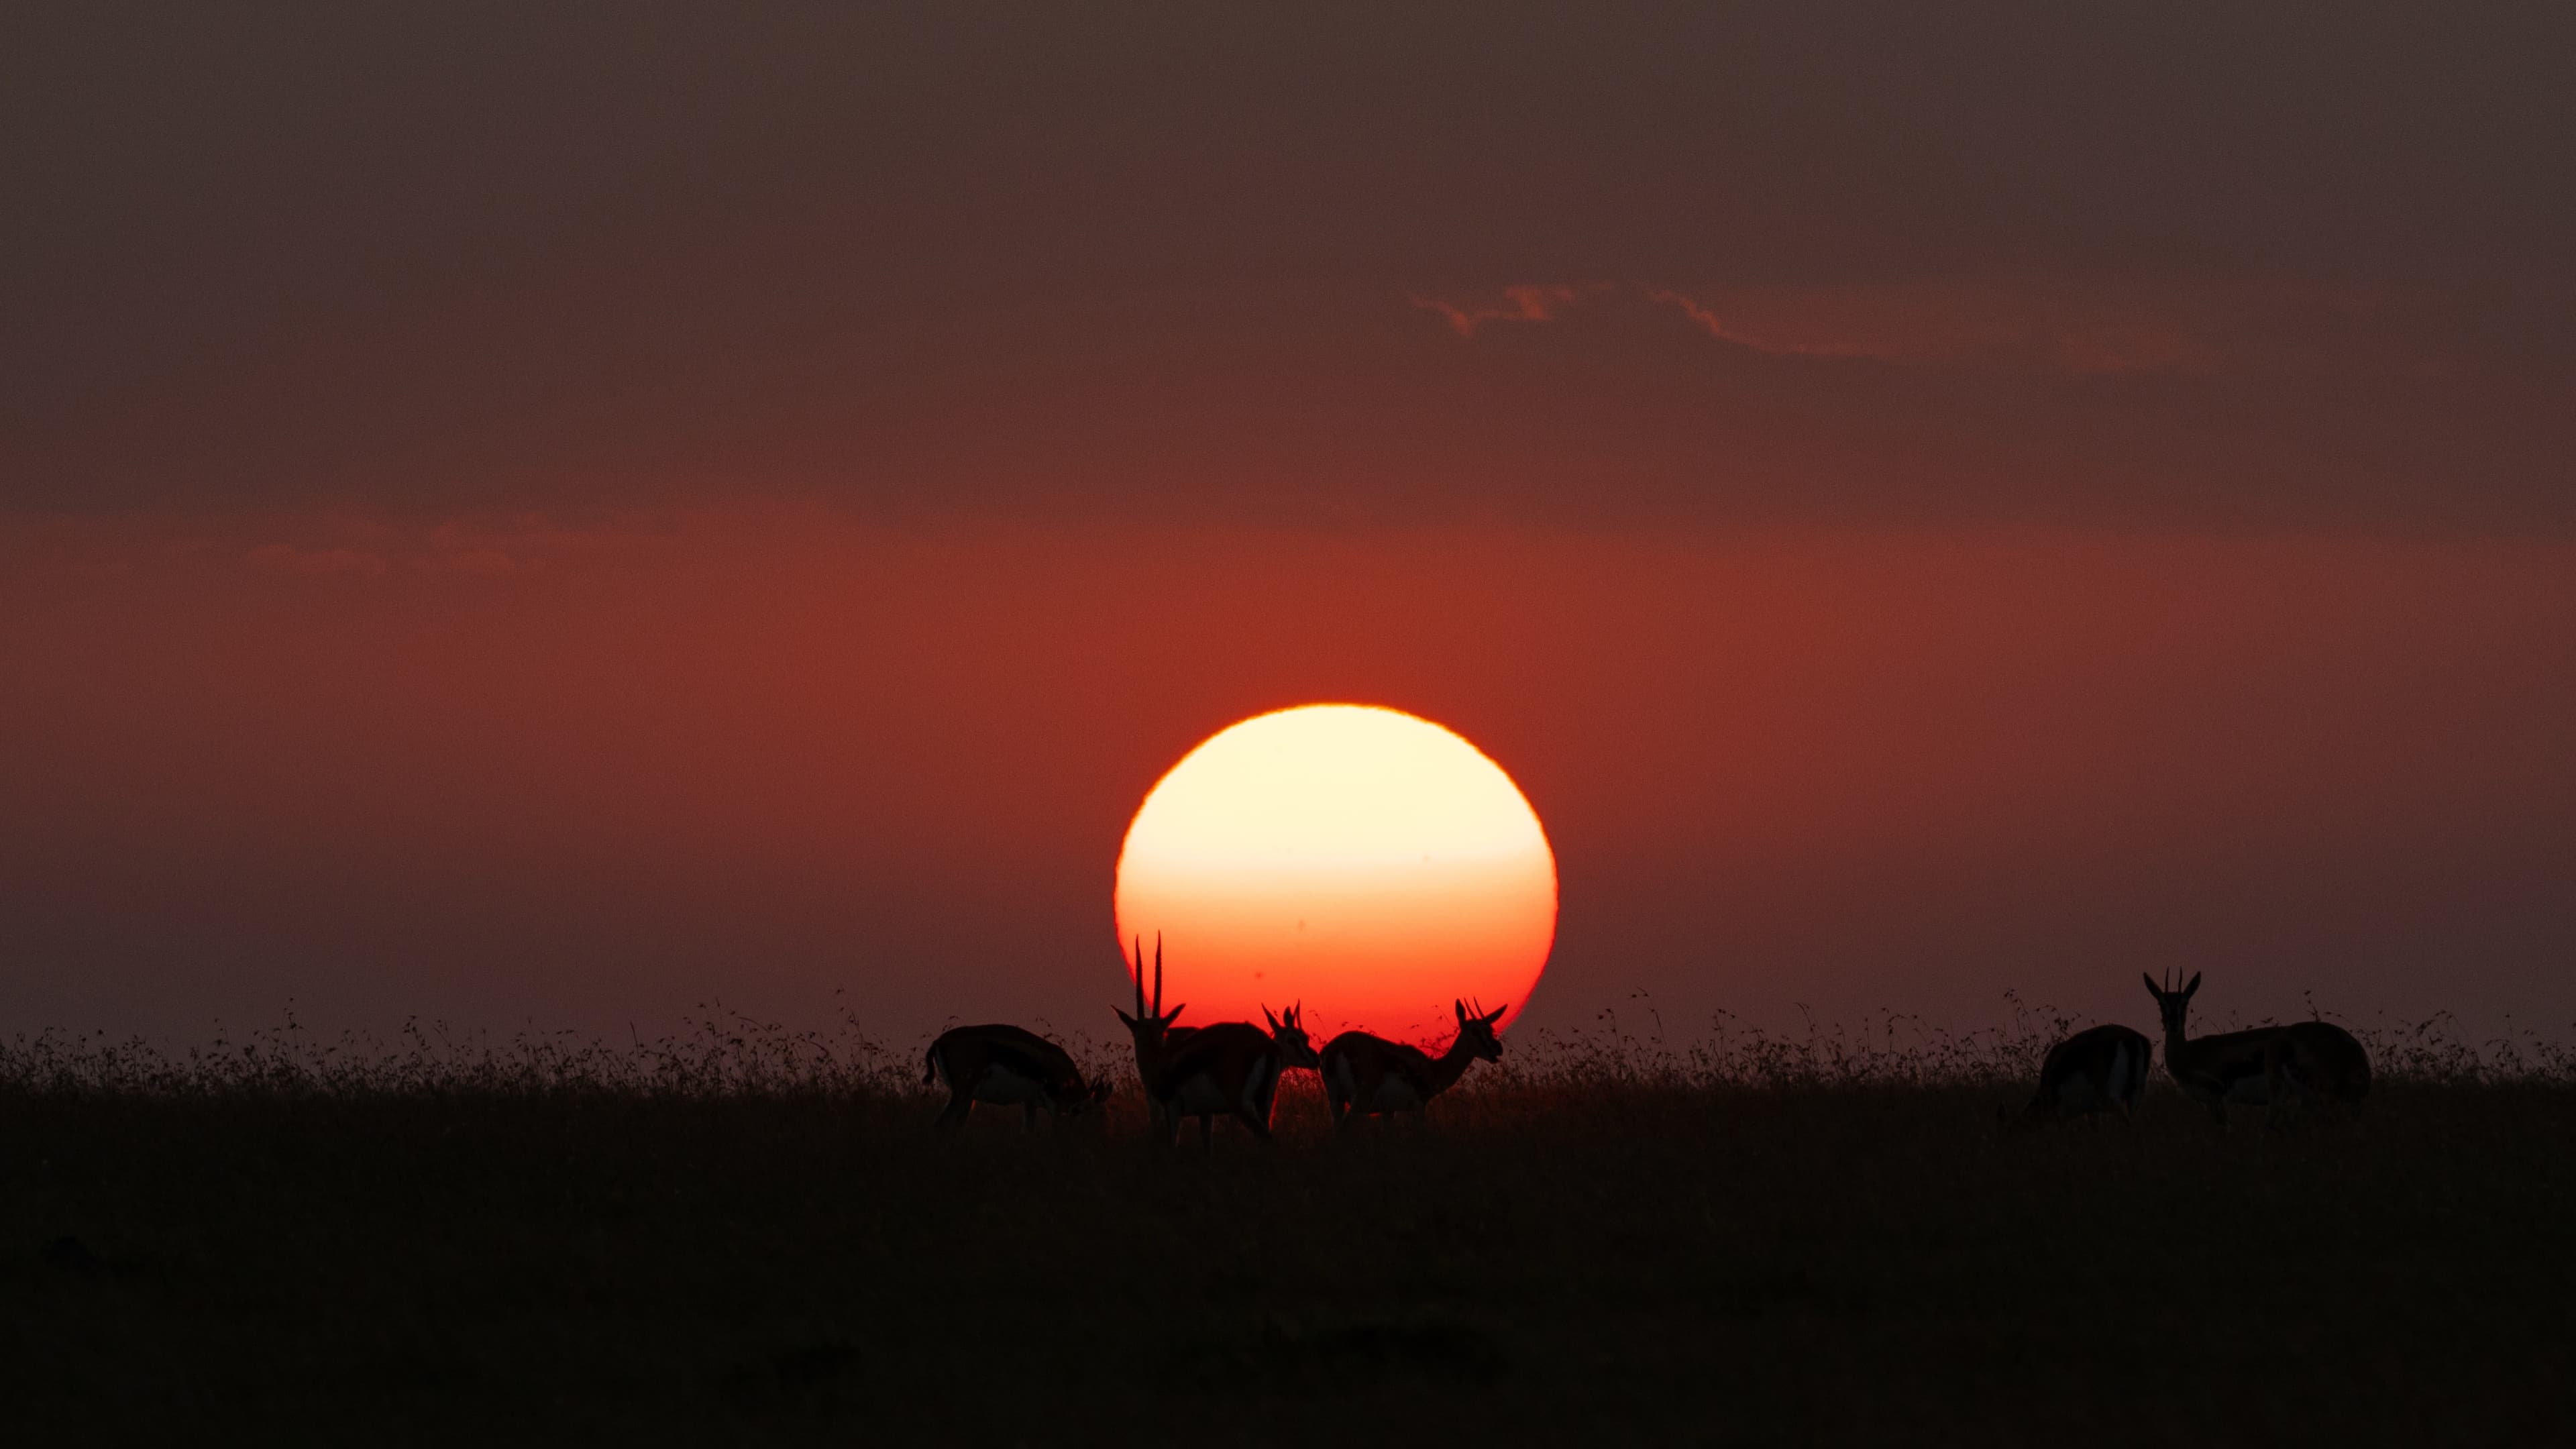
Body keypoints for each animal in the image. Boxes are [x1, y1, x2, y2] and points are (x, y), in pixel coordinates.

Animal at [922, 1024, 1111, 1132]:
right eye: (1098, 1114)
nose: (1106, 1134)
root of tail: (939, 1041)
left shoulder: (1030, 1103)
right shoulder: (1055, 1106)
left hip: (968, 1099)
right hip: (963, 1095)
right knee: (938, 1126)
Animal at [1320, 999, 1507, 1130]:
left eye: (1490, 1029)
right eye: (1475, 1031)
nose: (1498, 1048)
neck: (1432, 1069)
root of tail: (1336, 1048)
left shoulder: (1388, 1111)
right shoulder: (1419, 1106)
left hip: (1336, 1100)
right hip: (1360, 1100)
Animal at [2006, 1022, 2151, 1129]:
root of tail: (2134, 1040)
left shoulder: (2060, 1111)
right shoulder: (2092, 1110)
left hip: (2112, 1094)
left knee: (2127, 1121)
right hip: (2136, 1093)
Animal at [2144, 971, 2371, 1128]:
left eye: (2185, 1003)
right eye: (2161, 1004)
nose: (2173, 1024)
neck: (2189, 1053)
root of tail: (2349, 1045)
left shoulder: (2217, 1098)